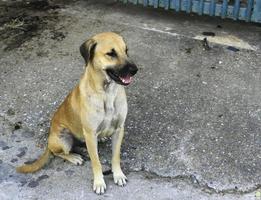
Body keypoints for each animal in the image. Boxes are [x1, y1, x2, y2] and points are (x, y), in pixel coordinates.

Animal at [16, 32, 137, 195]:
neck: (106, 93)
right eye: (111, 54)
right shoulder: (90, 133)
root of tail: (49, 138)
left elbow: (115, 156)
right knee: (58, 152)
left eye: (126, 50)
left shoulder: (119, 129)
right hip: (63, 139)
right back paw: (74, 157)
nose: (135, 70)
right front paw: (99, 182)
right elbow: (96, 162)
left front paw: (118, 174)